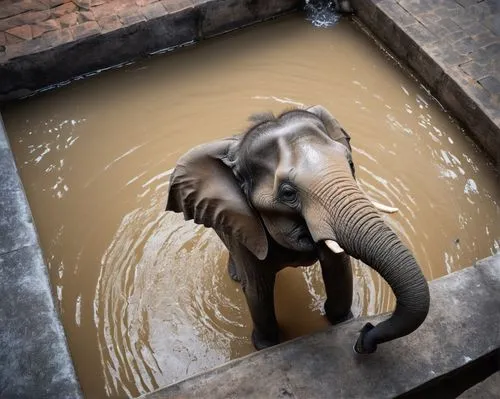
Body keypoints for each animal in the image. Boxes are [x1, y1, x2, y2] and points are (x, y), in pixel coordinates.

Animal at [165, 105, 430, 354]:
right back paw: (236, 276)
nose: (365, 336)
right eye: (288, 193)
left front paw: (343, 322)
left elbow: (338, 266)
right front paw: (266, 347)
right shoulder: (245, 226)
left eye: (350, 163)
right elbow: (258, 289)